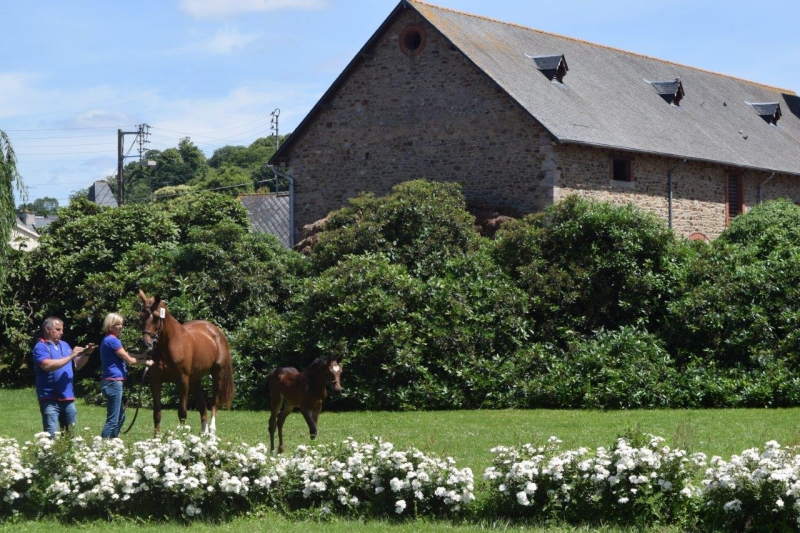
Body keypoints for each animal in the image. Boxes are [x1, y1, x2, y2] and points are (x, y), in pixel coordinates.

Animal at [136, 288, 231, 434]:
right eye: (141, 316)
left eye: (157, 317)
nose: (147, 345)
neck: (169, 345)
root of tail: (216, 331)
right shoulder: (155, 380)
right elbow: (157, 413)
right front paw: (156, 438)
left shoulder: (182, 380)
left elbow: (182, 412)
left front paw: (182, 435)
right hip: (195, 380)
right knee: (202, 406)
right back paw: (203, 434)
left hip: (217, 374)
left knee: (214, 403)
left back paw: (212, 432)